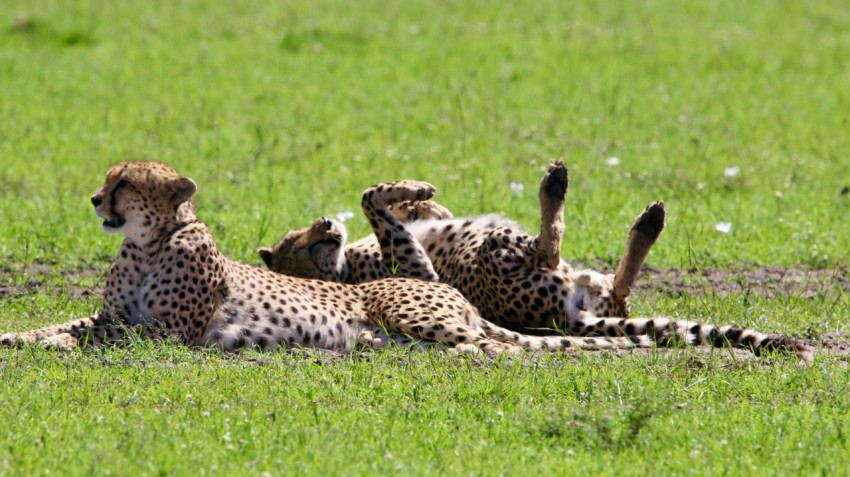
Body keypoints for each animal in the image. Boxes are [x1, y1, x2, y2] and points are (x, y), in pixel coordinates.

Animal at [0, 162, 652, 356]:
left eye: (124, 183)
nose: (94, 199)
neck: (144, 245)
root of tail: (463, 298)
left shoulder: (168, 331)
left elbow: (99, 336)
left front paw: (54, 345)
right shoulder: (120, 317)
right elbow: (74, 325)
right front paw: (24, 337)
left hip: (415, 311)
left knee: (507, 348)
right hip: (402, 326)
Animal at [260, 162, 816, 358]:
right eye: (301, 245)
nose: (326, 226)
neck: (346, 268)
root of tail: (567, 317)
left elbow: (397, 206)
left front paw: (423, 201)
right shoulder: (420, 270)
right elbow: (370, 196)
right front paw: (411, 192)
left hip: (587, 284)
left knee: (617, 285)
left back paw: (647, 222)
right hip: (500, 251)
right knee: (549, 247)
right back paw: (558, 187)